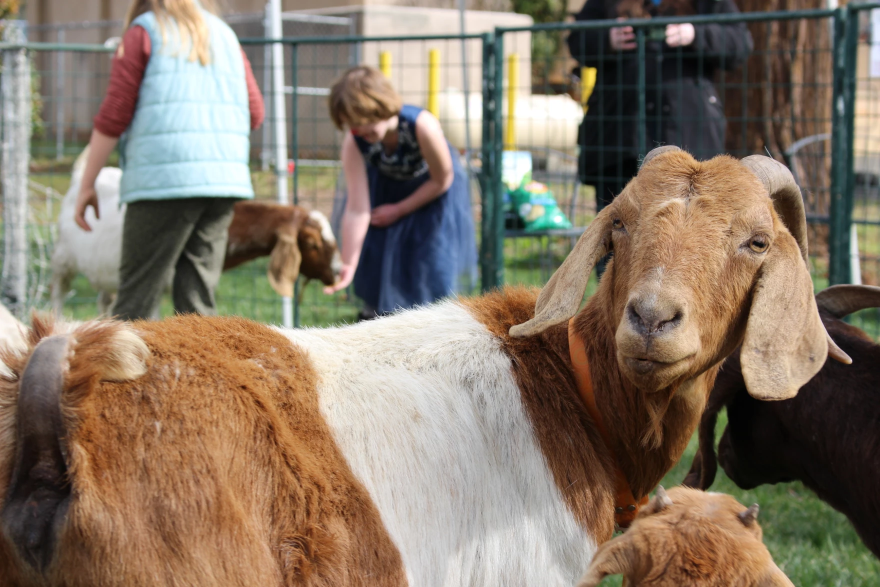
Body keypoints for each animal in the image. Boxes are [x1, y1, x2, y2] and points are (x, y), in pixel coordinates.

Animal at [50, 156, 340, 315]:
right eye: (312, 243)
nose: (337, 272)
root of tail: (80, 176)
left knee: (104, 301)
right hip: (63, 258)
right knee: (59, 295)